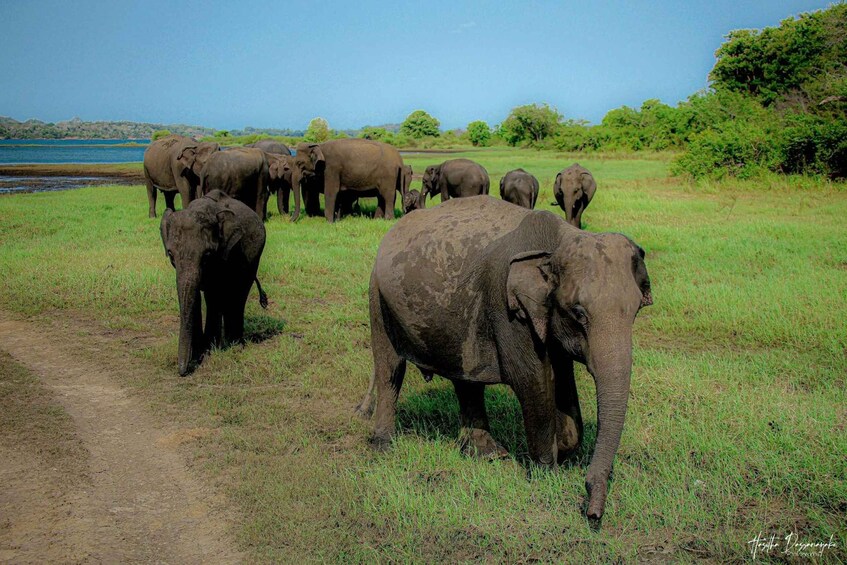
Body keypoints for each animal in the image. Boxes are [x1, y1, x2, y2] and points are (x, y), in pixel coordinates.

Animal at [160, 190, 268, 376]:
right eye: (171, 254)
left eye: (207, 255)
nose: (182, 371)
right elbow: (193, 295)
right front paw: (198, 352)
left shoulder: (223, 254)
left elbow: (213, 294)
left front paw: (208, 351)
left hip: (254, 257)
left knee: (238, 294)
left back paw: (235, 344)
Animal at [356, 195, 652, 521]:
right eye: (578, 313)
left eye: (636, 310)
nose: (593, 514)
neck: (558, 242)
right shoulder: (510, 312)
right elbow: (532, 381)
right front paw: (546, 474)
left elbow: (561, 377)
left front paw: (564, 449)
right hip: (378, 296)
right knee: (390, 369)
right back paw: (384, 447)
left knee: (466, 379)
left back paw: (487, 454)